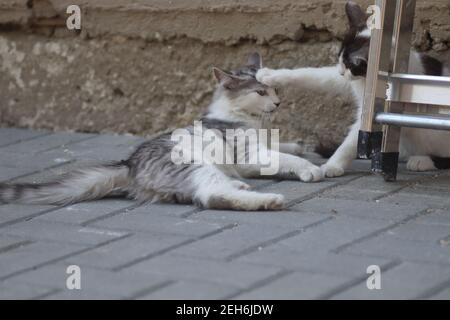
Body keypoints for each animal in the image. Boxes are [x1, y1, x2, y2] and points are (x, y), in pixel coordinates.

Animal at [0, 53, 324, 211]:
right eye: (260, 92)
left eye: (275, 89)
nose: (279, 102)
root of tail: (130, 164)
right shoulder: (250, 155)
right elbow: (287, 159)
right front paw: (310, 168)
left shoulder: (262, 147)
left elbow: (286, 147)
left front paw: (305, 146)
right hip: (194, 164)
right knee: (209, 196)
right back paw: (267, 200)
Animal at [256, 0, 450, 178]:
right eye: (340, 58)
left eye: (351, 65)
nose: (341, 71)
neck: (367, 79)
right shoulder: (348, 81)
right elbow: (313, 75)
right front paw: (269, 75)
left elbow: (352, 140)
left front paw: (332, 165)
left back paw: (422, 160)